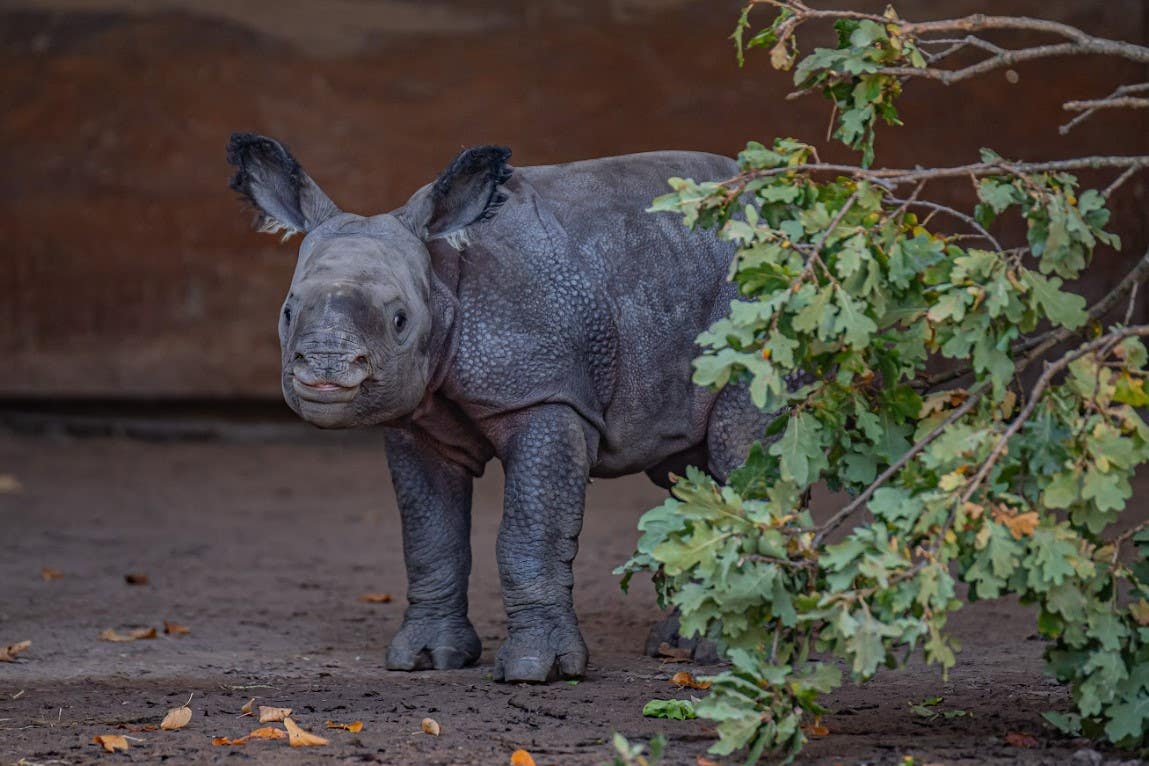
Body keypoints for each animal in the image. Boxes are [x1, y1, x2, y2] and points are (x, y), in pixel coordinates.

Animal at [226, 133, 773, 683]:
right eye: (287, 313)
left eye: (400, 320)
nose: (325, 369)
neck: (440, 281)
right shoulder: (419, 421)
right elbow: (430, 537)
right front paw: (426, 659)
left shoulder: (546, 395)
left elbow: (530, 533)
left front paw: (536, 668)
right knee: (690, 476)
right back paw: (681, 645)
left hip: (753, 311)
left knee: (738, 453)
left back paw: (729, 652)